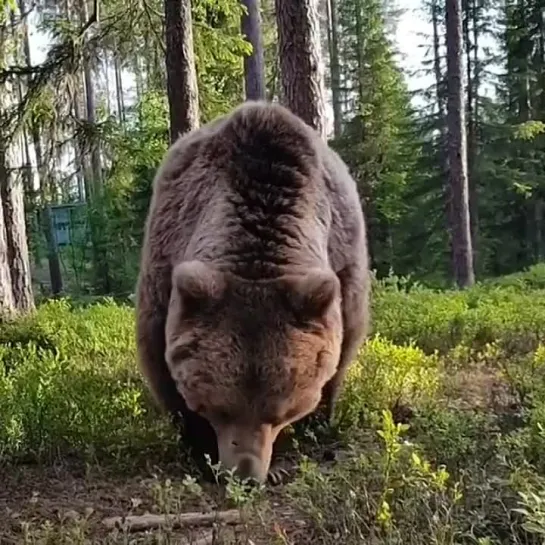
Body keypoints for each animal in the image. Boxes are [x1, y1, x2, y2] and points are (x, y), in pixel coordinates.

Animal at [135, 100, 370, 482]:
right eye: (218, 408)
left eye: (282, 412)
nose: (246, 473)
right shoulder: (166, 255)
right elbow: (159, 357)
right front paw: (197, 445)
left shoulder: (344, 257)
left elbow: (341, 353)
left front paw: (316, 425)